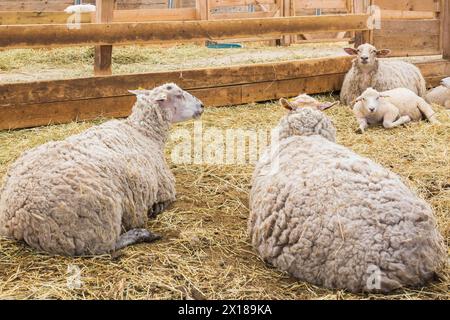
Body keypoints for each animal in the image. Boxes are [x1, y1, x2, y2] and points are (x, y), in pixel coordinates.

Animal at [0, 83, 204, 258]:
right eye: (179, 94)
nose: (202, 105)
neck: (144, 133)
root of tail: (17, 217)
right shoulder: (165, 188)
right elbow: (166, 201)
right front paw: (156, 209)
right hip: (95, 223)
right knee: (106, 247)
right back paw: (142, 234)